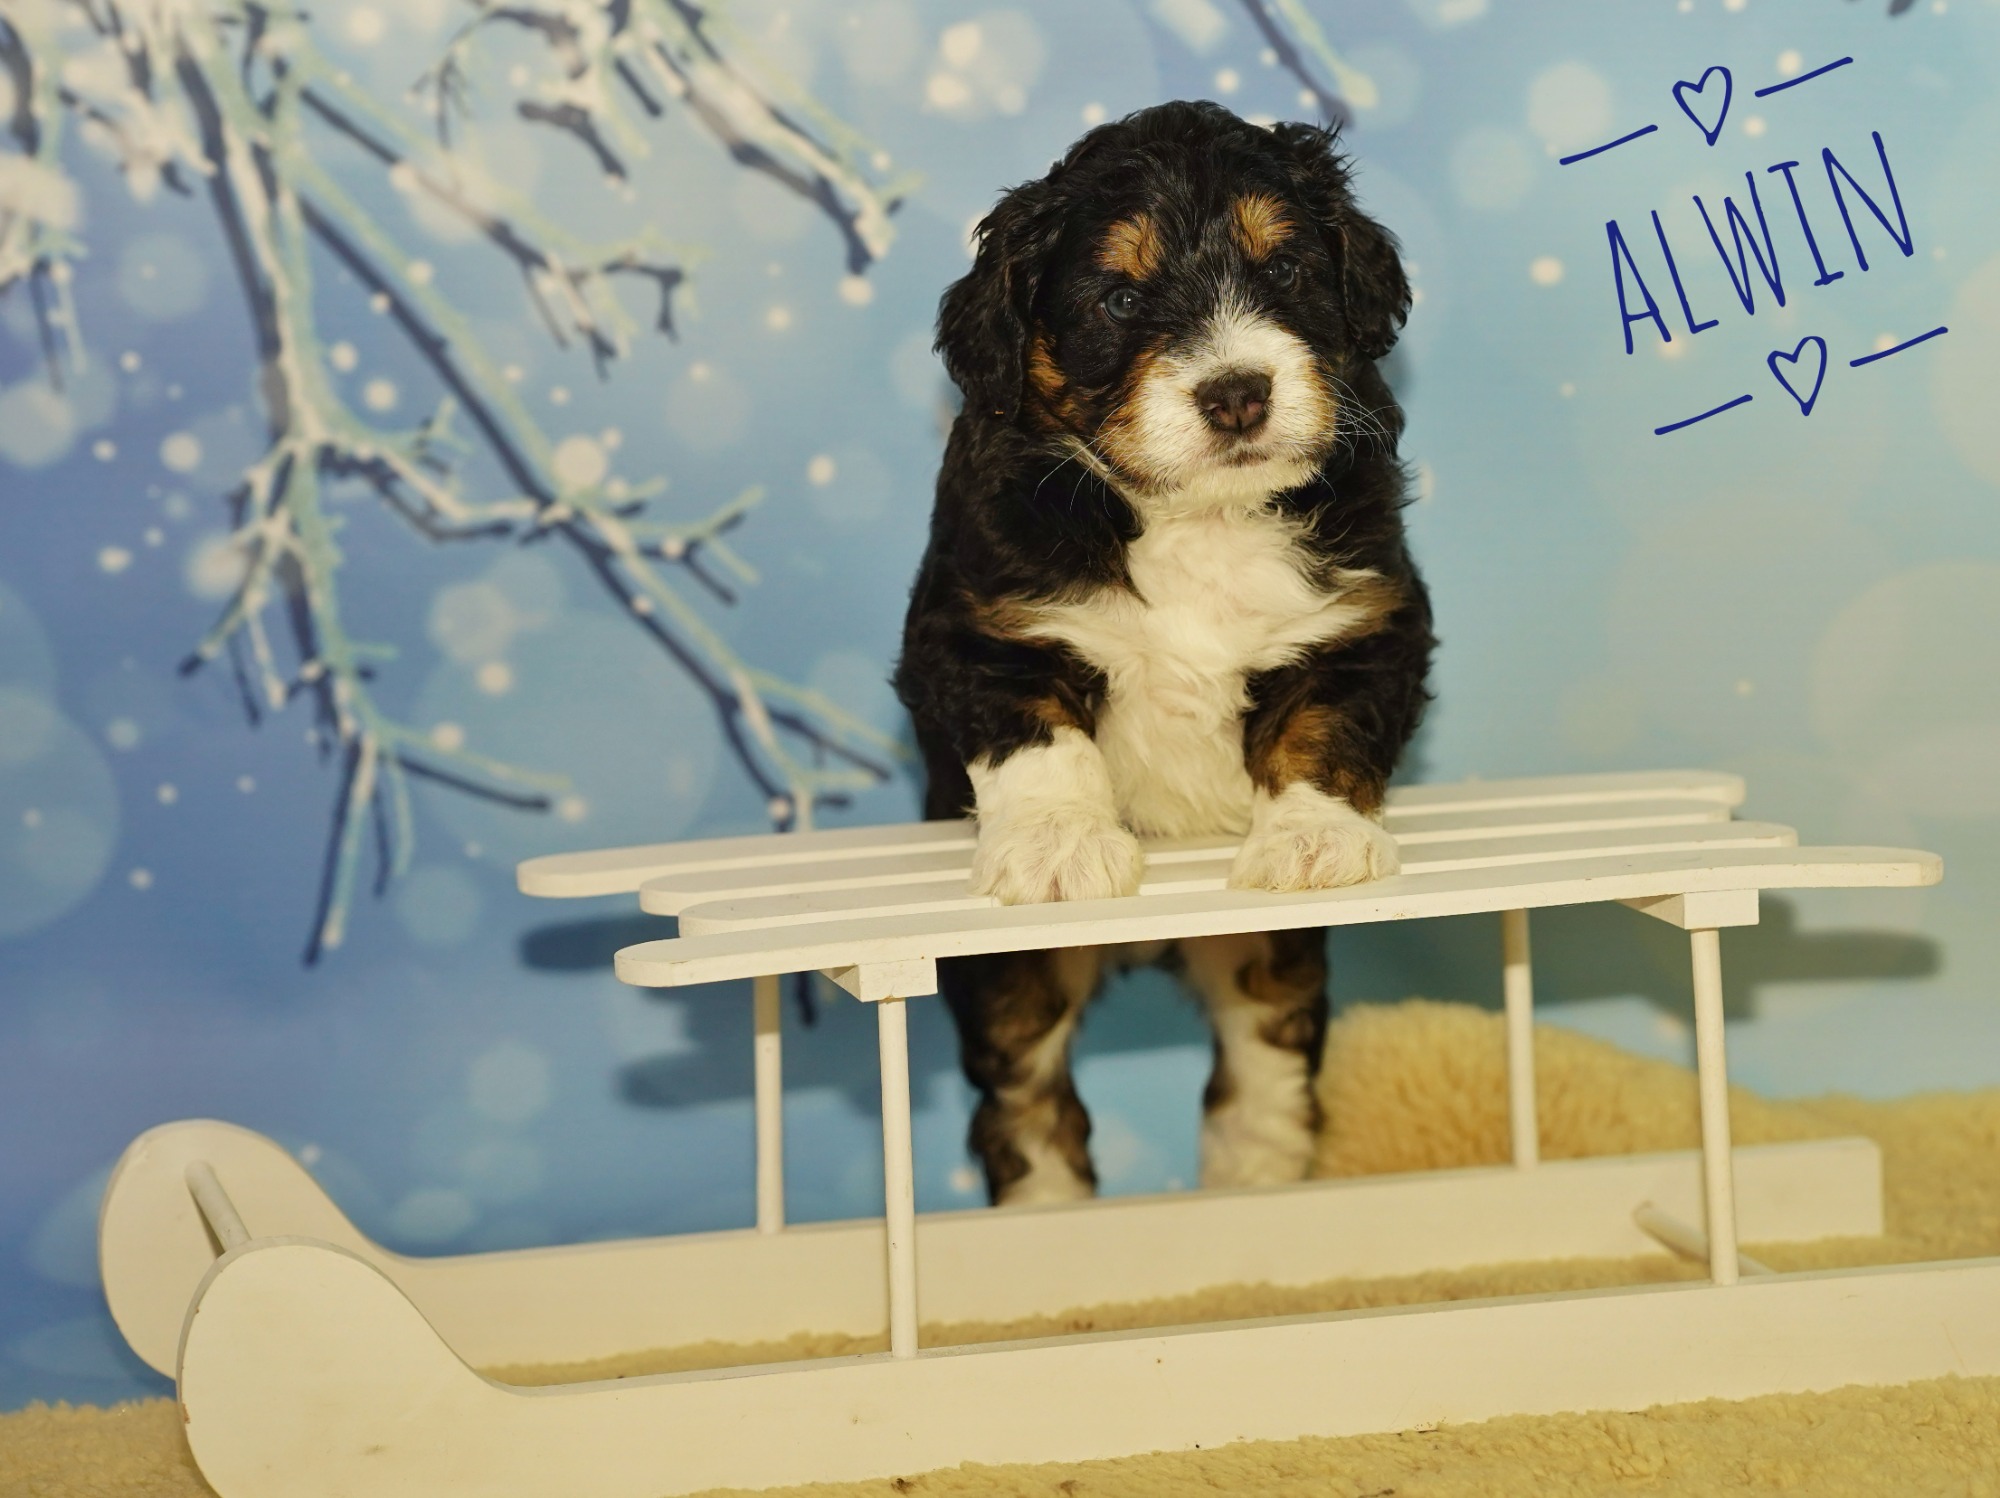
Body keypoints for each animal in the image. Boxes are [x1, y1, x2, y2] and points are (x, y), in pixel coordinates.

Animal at [893, 101, 1434, 1206]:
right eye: (1118, 297)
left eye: (1285, 269)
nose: (1237, 393)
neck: (1197, 518)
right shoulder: (975, 626)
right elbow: (1039, 737)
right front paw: (1059, 845)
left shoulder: (1369, 616)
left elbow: (1321, 727)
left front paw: (1311, 838)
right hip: (1012, 986)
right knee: (1026, 1101)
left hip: (1263, 963)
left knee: (1265, 1058)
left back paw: (1256, 1175)